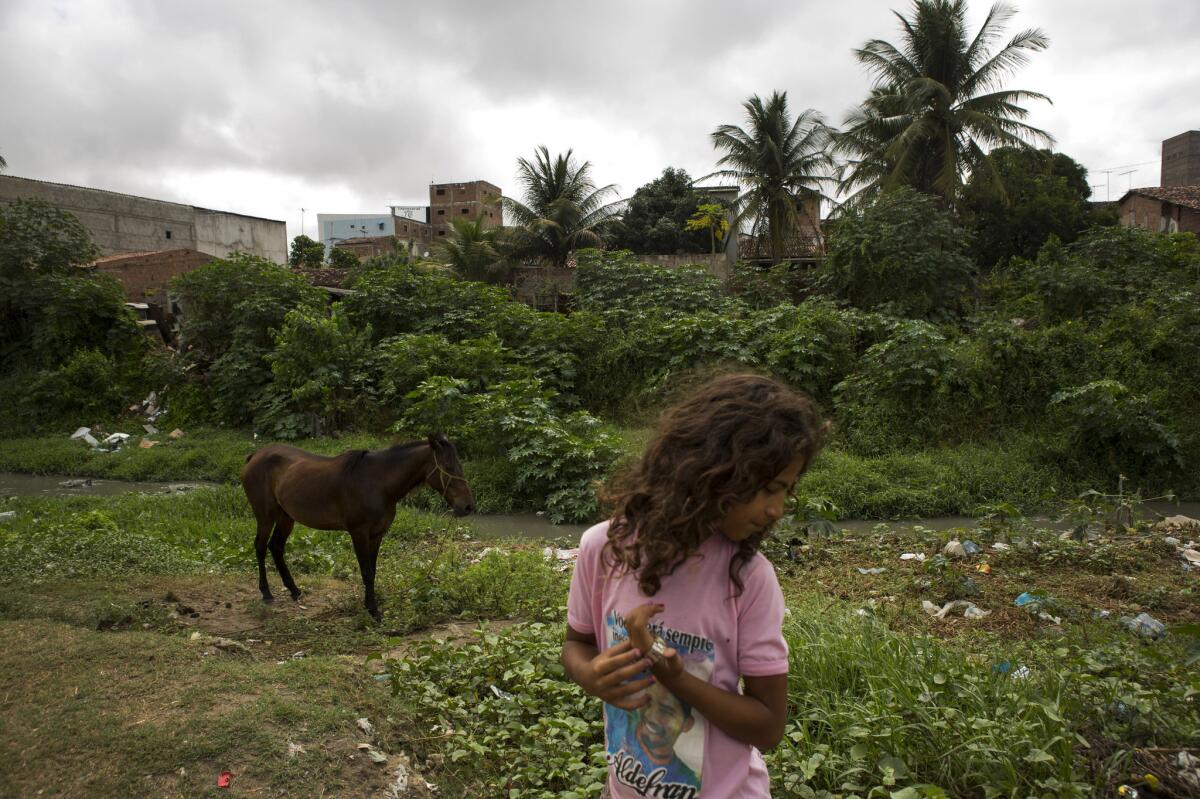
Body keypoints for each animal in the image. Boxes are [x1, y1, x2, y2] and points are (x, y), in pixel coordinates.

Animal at [238, 431, 472, 619]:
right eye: (448, 467)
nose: (467, 506)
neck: (377, 484)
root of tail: (254, 456)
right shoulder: (359, 533)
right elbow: (366, 572)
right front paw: (373, 611)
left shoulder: (377, 534)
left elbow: (373, 571)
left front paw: (370, 605)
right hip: (265, 516)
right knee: (260, 546)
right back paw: (266, 593)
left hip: (286, 517)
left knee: (276, 547)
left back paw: (294, 590)